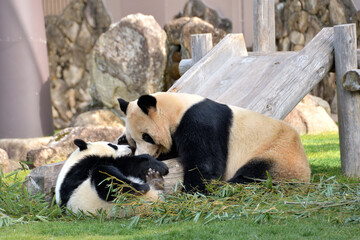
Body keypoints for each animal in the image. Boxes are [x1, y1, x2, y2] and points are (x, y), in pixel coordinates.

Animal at [116, 92, 310, 193]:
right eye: (134, 141)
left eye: (146, 136)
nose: (144, 153)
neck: (176, 109)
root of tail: (306, 176)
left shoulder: (199, 122)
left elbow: (205, 160)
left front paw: (195, 188)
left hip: (279, 153)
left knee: (257, 174)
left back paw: (226, 185)